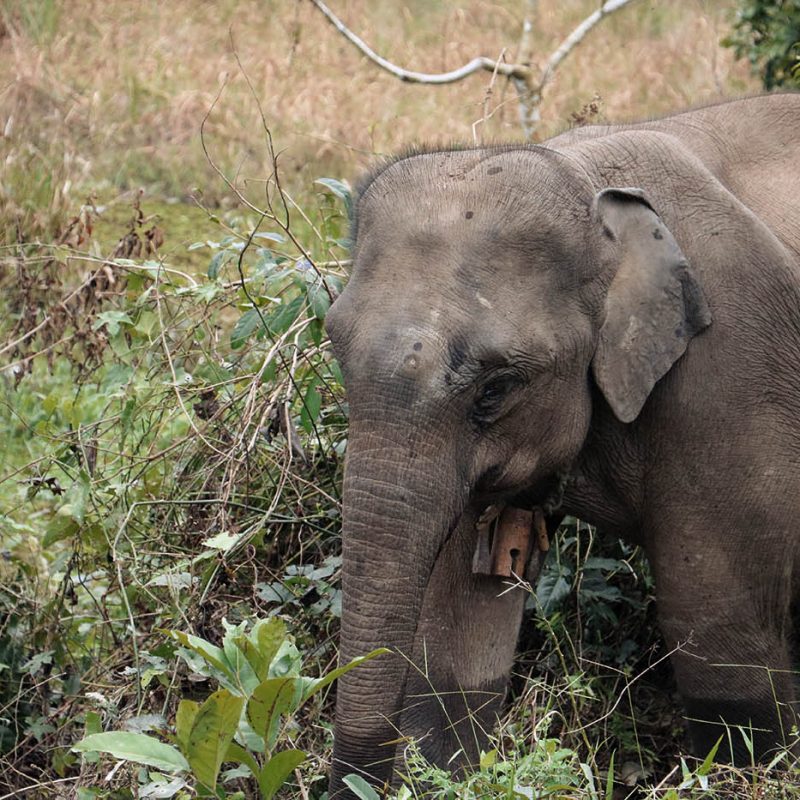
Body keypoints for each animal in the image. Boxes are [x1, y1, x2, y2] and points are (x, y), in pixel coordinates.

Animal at [324, 92, 800, 792]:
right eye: (335, 350)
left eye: (496, 388)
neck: (585, 186)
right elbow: (462, 624)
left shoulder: (732, 375)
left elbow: (720, 631)